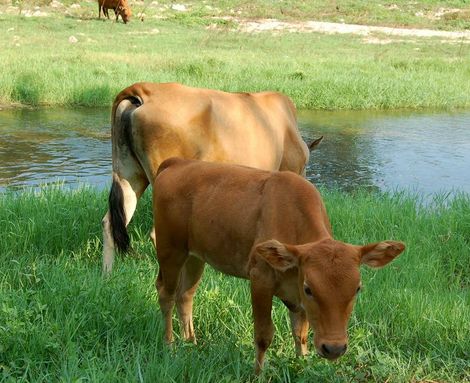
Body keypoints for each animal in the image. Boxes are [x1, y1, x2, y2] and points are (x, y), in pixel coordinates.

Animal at [151, 158, 404, 376]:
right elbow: (264, 334)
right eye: (309, 288)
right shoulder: (260, 278)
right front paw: (258, 374)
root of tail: (177, 162)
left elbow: (300, 333)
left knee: (186, 295)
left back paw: (191, 342)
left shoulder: (295, 295)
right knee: (166, 294)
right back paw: (169, 345)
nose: (334, 348)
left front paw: (302, 364)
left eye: (357, 289)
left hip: (196, 256)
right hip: (170, 249)